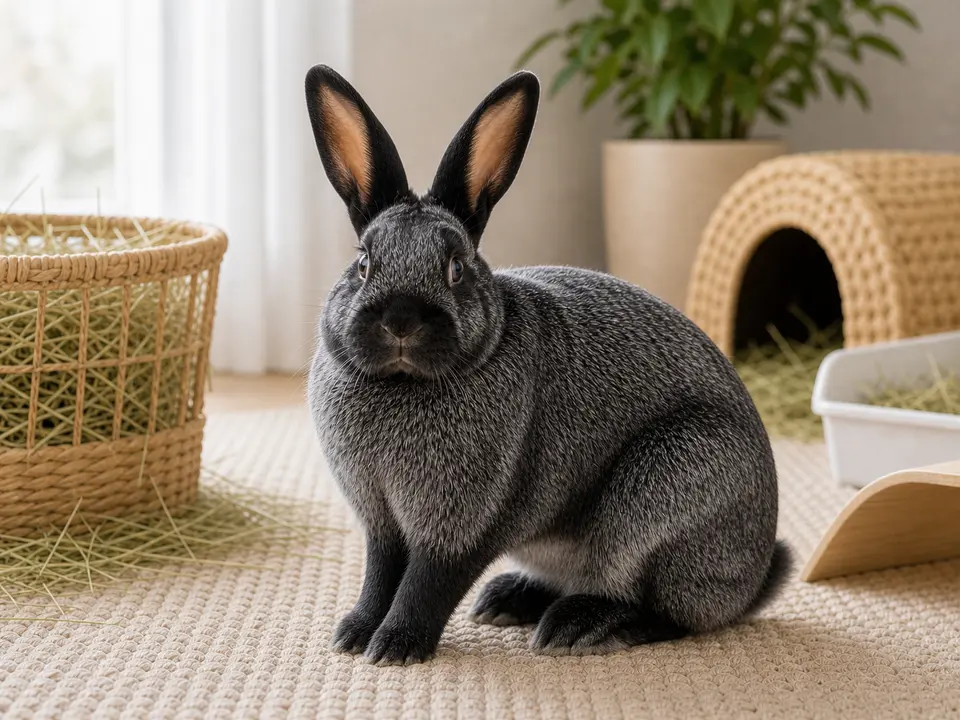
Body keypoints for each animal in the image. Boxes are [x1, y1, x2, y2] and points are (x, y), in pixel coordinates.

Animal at [305, 64, 792, 665]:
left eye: (456, 268)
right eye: (363, 263)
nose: (400, 320)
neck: (403, 382)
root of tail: (754, 580)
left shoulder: (464, 522)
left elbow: (428, 583)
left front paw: (396, 646)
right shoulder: (383, 521)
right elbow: (381, 574)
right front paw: (353, 634)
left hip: (669, 490)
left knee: (668, 610)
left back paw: (578, 626)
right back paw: (507, 600)